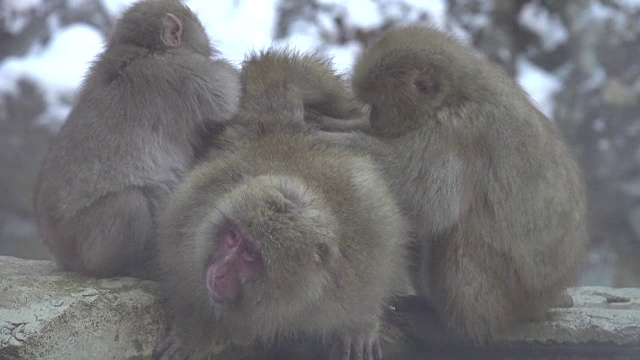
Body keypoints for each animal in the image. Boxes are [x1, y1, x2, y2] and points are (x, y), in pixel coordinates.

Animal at [31, 0, 240, 278]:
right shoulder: (183, 72)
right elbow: (228, 95)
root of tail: (60, 254)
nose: (211, 51)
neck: (141, 49)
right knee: (129, 204)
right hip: (88, 244)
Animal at [154, 48, 410, 360]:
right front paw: (198, 330)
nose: (221, 271)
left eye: (250, 254)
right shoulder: (189, 224)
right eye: (233, 236)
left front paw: (361, 322)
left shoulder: (365, 241)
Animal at [318, 25, 588, 344]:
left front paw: (336, 140)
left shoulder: (457, 133)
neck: (455, 96)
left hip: (509, 293)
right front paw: (339, 124)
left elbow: (430, 202)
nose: (372, 120)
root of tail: (545, 300)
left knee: (463, 234)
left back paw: (457, 322)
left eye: (378, 107)